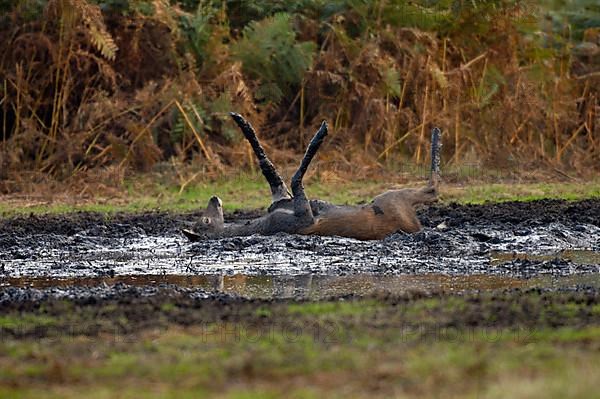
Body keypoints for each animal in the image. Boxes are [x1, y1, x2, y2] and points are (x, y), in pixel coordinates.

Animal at [183, 114, 440, 242]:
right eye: (205, 220)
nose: (214, 198)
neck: (252, 225)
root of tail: (415, 225)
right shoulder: (300, 219)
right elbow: (295, 178)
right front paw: (320, 134)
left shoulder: (281, 199)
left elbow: (270, 170)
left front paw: (242, 122)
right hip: (391, 199)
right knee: (433, 189)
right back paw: (436, 137)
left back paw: (436, 135)